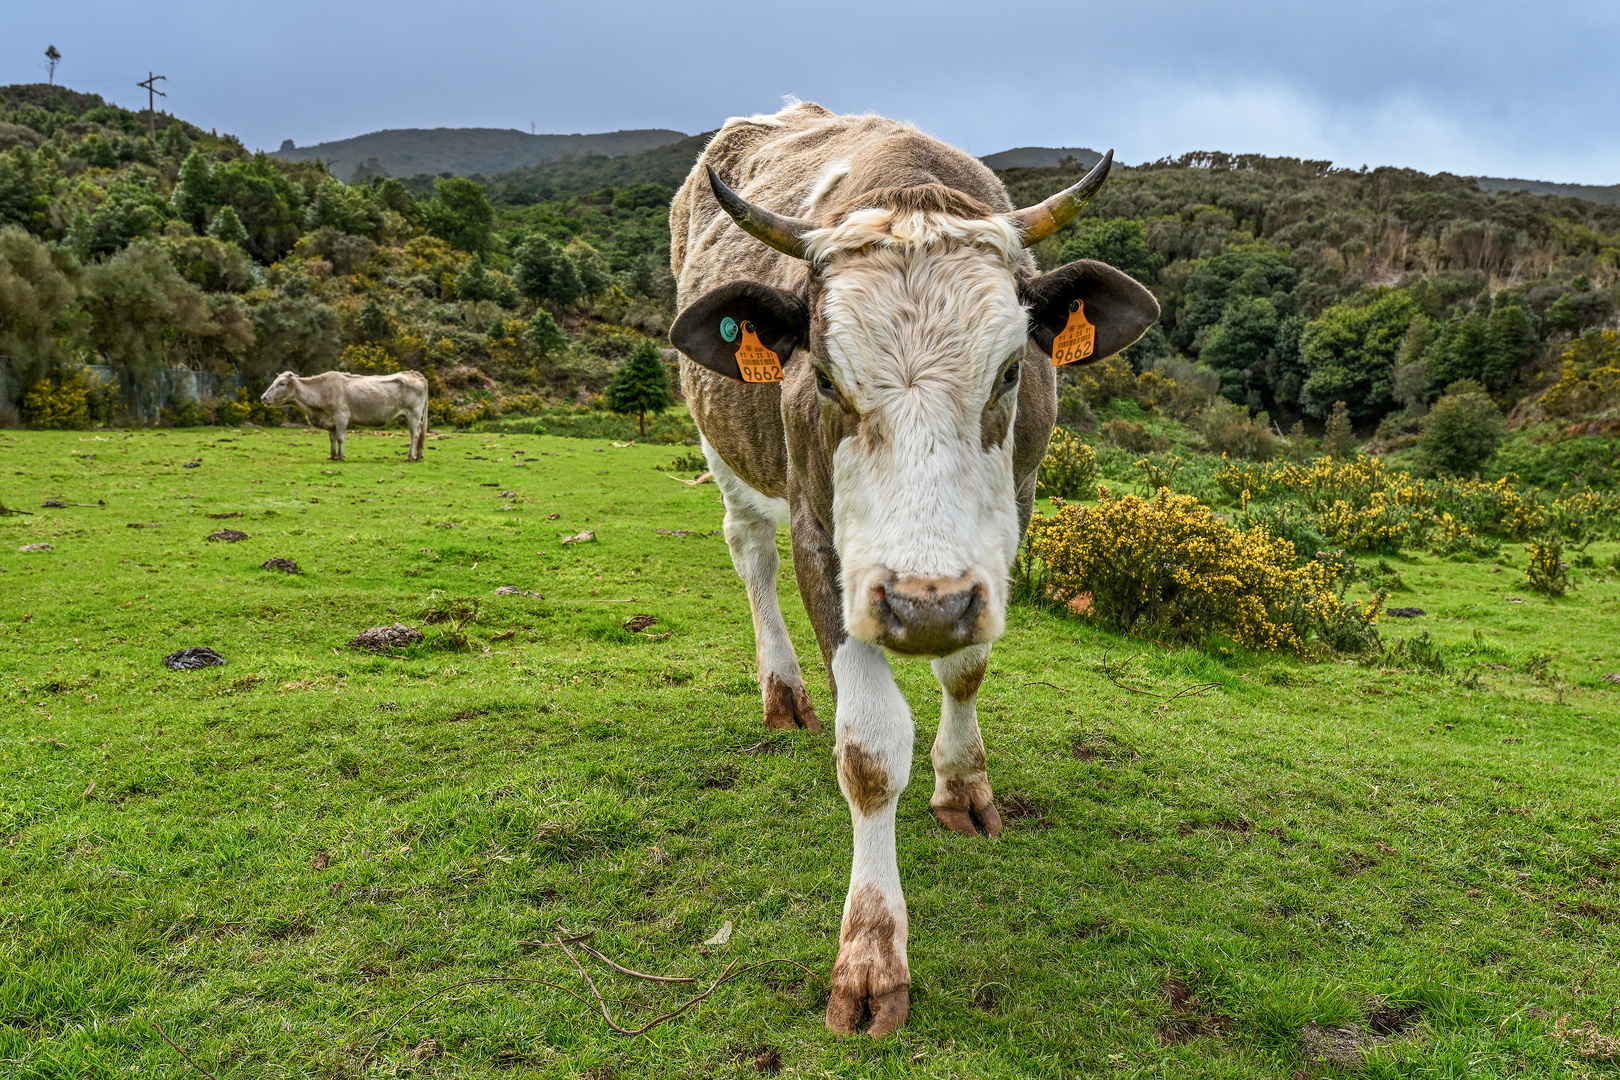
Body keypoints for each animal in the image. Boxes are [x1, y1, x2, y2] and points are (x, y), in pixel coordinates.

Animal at [257, 372, 427, 459]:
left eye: (281, 383)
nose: (263, 397)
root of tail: (414, 374)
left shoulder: (341, 416)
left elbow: (340, 438)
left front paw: (341, 456)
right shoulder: (330, 421)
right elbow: (332, 438)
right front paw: (332, 455)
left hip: (413, 413)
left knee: (415, 434)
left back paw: (410, 456)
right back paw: (419, 455)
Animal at [664, 103, 1159, 1036]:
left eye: (1011, 371)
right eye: (824, 377)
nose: (923, 608)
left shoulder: (1010, 524)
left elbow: (967, 671)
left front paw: (961, 785)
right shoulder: (826, 544)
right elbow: (867, 751)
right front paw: (869, 955)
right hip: (725, 451)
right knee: (749, 550)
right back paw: (782, 691)